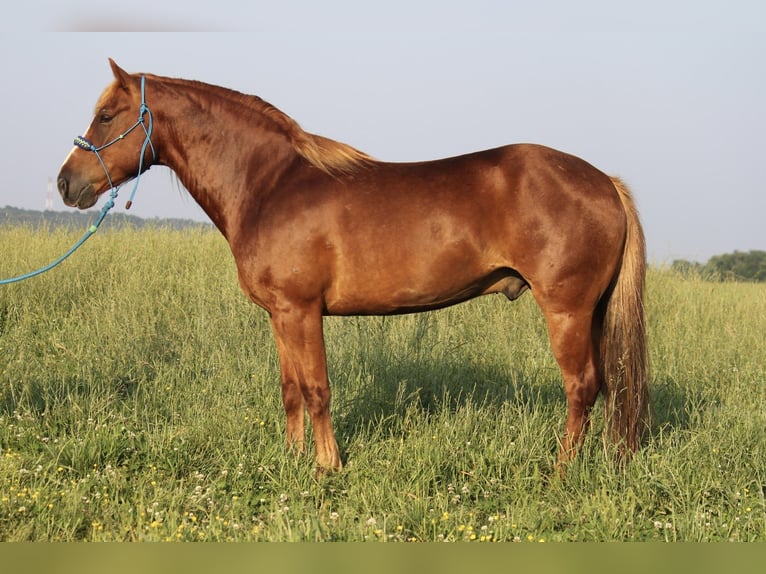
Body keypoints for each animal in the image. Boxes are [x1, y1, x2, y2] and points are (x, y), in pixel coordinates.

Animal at [57, 60, 652, 476]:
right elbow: (291, 389)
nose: (66, 183)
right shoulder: (280, 315)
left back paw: (561, 472)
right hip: (592, 313)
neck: (269, 185)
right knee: (606, 387)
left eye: (106, 115)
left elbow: (318, 388)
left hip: (567, 310)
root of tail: (604, 182)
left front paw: (328, 467)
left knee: (582, 387)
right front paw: (294, 461)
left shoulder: (302, 311)